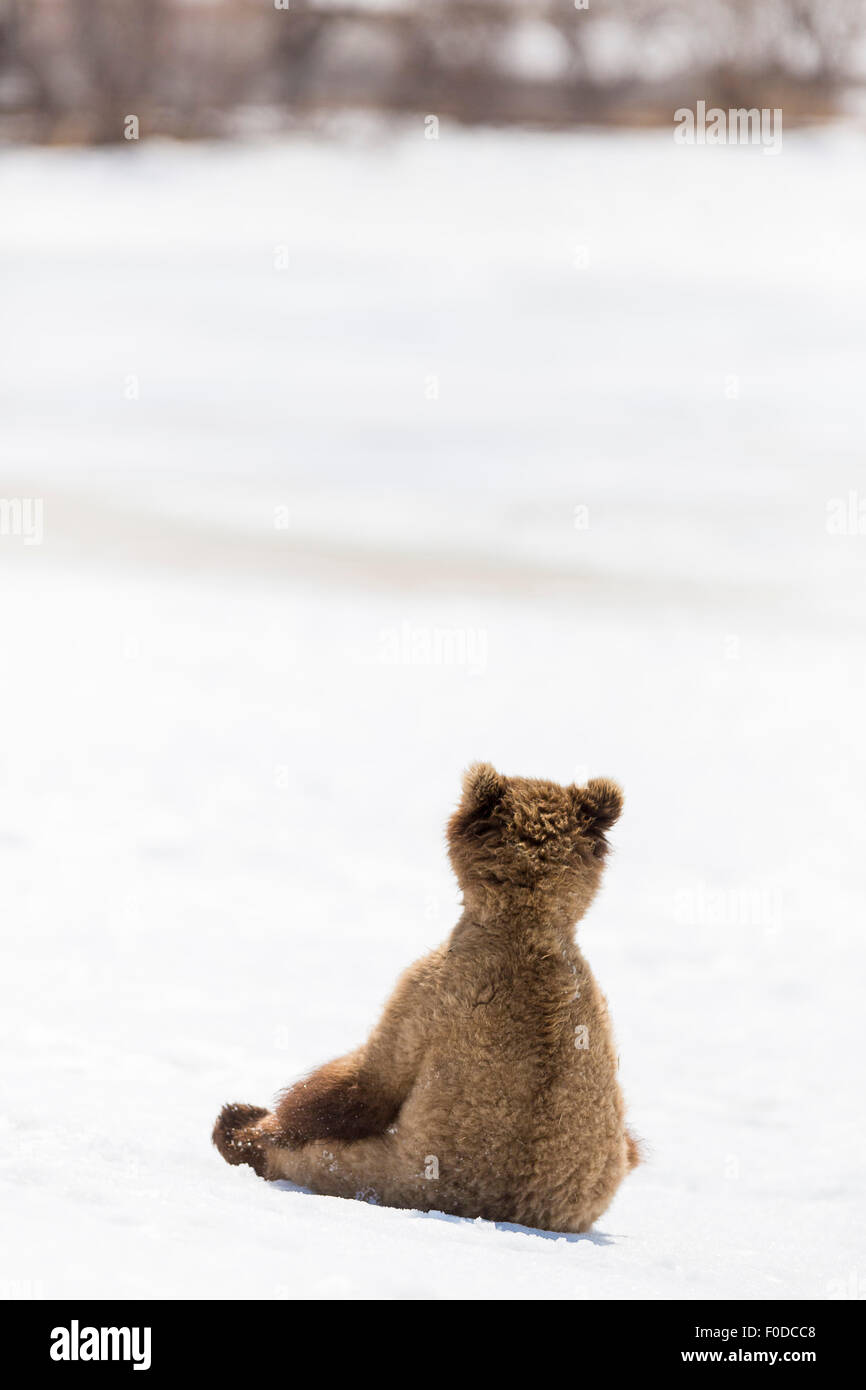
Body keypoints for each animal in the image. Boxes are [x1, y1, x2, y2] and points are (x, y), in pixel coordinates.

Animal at [214, 767, 639, 1234]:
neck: (525, 924)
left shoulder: (430, 991)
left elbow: (364, 1081)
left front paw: (254, 1120)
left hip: (378, 1170)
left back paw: (235, 1130)